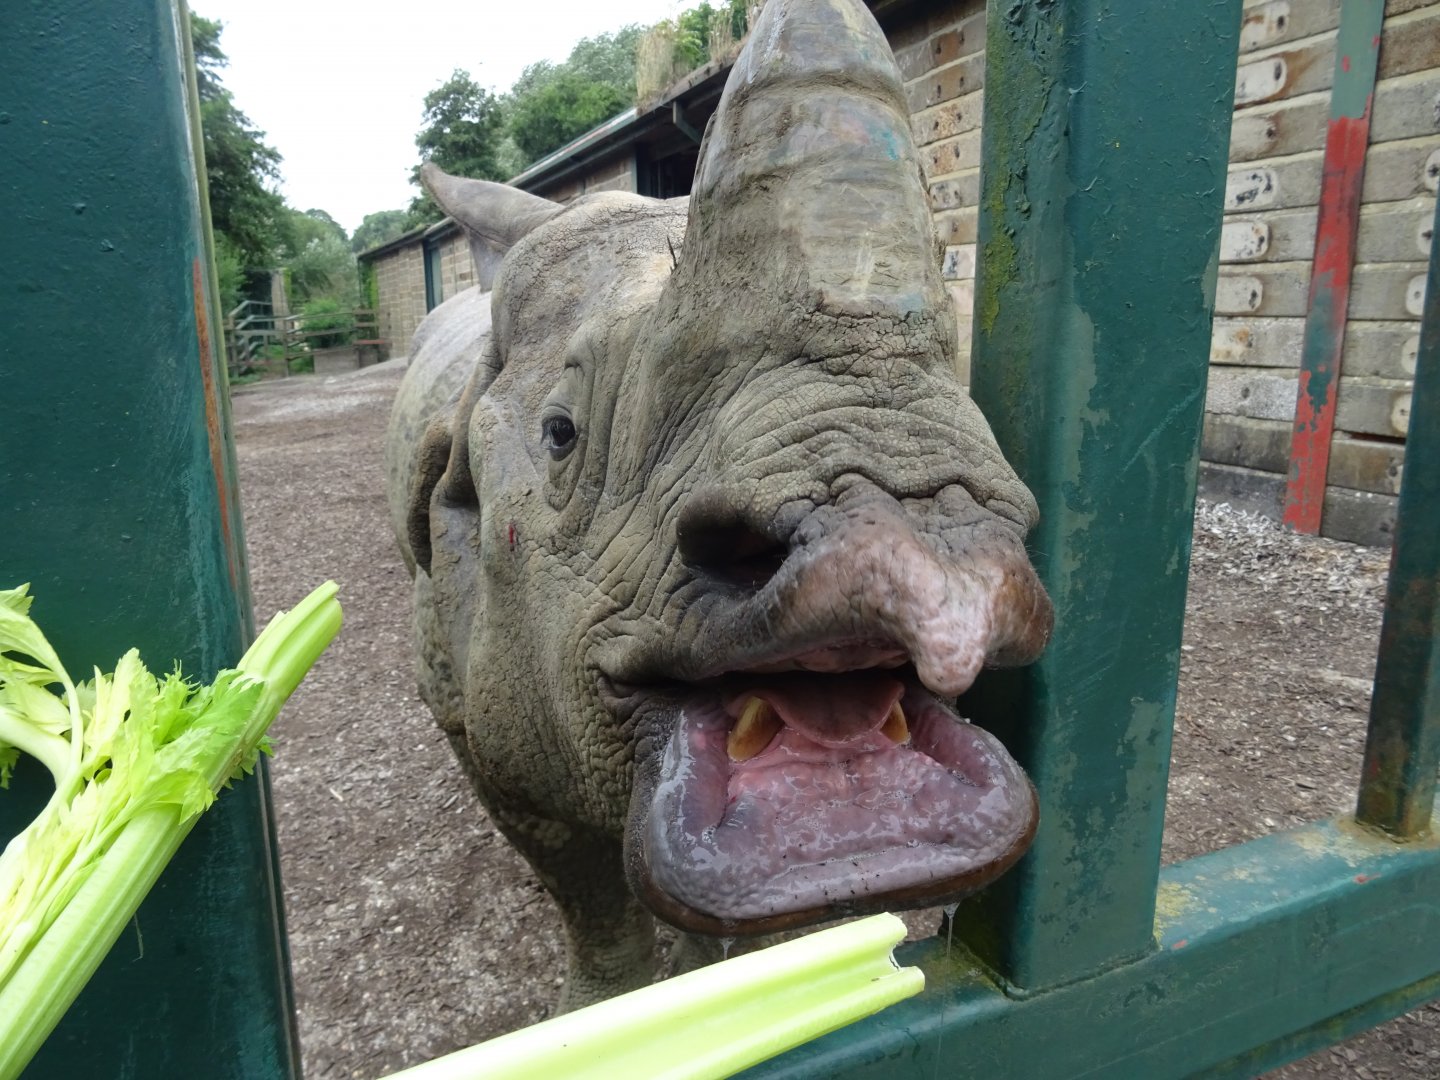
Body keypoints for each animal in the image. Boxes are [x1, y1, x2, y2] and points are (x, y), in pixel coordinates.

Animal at [385, 0, 1053, 1009]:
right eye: (559, 435)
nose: (910, 542)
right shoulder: (478, 727)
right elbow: (585, 891)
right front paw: (609, 1010)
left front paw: (717, 992)